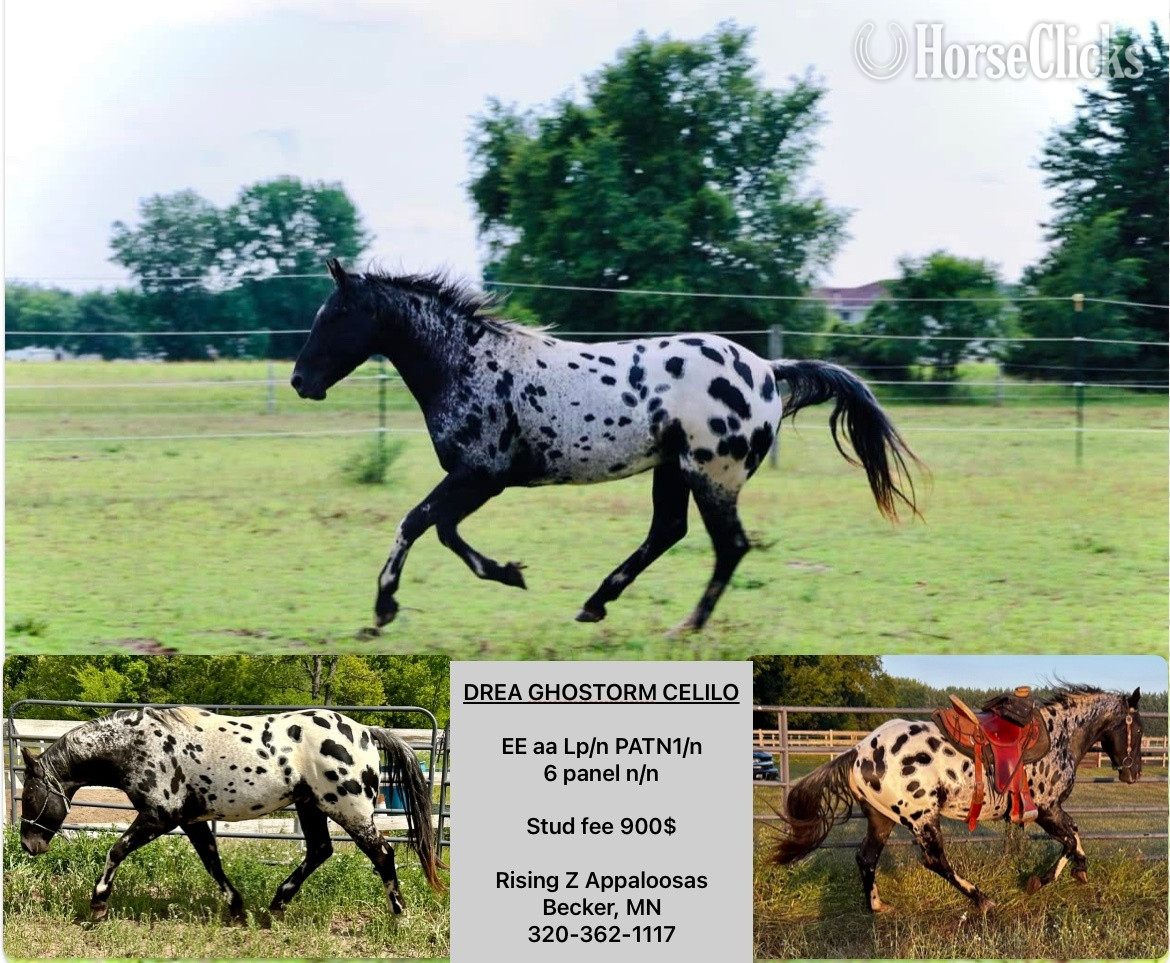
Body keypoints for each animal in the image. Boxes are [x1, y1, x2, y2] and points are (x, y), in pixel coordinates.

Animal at [18, 706, 444, 921]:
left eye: (28, 797)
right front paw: (237, 909)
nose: (28, 844)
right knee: (320, 850)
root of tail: (367, 732)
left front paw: (98, 906)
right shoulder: (191, 821)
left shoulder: (159, 817)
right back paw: (275, 906)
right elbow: (213, 864)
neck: (137, 745)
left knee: (382, 854)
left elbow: (116, 851)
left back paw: (398, 915)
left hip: (348, 810)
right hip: (310, 806)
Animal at [291, 260, 922, 631]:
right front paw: (509, 573)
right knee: (669, 531)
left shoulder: (481, 476)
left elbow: (418, 523)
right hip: (673, 469)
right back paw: (596, 604)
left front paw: (383, 608)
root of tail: (767, 369)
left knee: (730, 545)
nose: (300, 380)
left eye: (337, 313)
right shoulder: (479, 481)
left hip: (710, 475)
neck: (468, 362)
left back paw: (688, 624)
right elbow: (442, 529)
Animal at [771, 685, 1143, 912]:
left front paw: (1072, 872)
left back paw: (877, 907)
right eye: (1138, 730)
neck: (1059, 735)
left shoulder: (1051, 811)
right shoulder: (1046, 809)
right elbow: (1070, 840)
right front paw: (1046, 879)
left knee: (866, 858)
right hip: (921, 818)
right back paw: (982, 899)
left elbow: (1074, 837)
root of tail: (859, 751)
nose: (1134, 773)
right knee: (936, 861)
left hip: (882, 819)